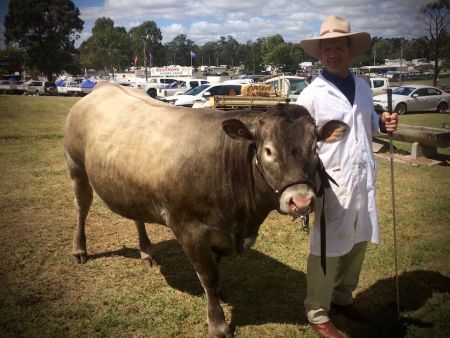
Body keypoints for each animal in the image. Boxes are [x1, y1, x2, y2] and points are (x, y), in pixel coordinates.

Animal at [64, 82, 348, 338]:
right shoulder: (189, 230)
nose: (301, 201)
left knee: (136, 217)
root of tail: (104, 87)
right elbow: (209, 275)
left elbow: (216, 269)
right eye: (268, 151)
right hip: (75, 166)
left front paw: (219, 295)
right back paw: (80, 250)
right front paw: (218, 324)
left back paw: (146, 252)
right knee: (81, 206)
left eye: (314, 148)